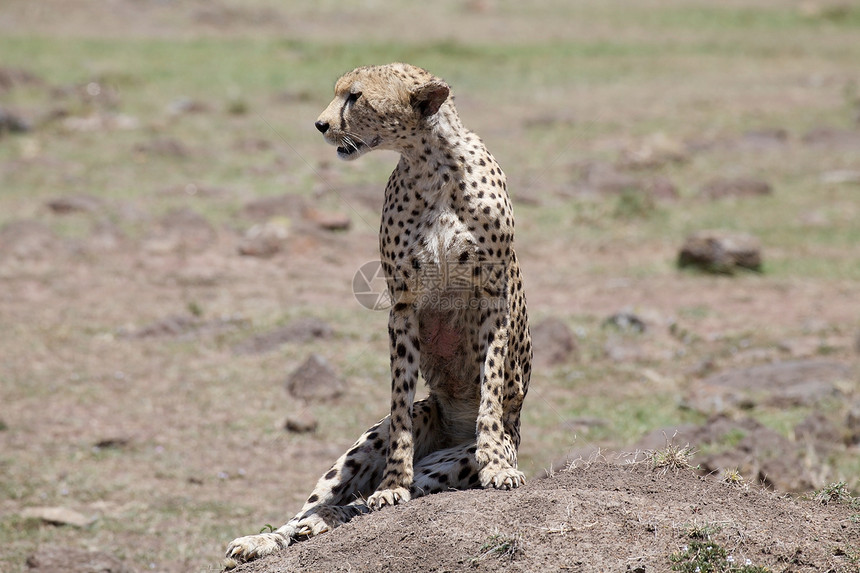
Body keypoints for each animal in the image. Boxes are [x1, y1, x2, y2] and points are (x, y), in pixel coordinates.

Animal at [225, 63, 528, 568]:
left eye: (356, 97)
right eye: (338, 93)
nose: (320, 125)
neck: (431, 163)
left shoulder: (493, 298)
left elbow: (490, 385)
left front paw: (498, 468)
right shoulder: (403, 306)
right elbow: (399, 400)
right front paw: (391, 486)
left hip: (450, 464)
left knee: (364, 503)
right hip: (367, 445)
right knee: (324, 503)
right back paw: (270, 537)